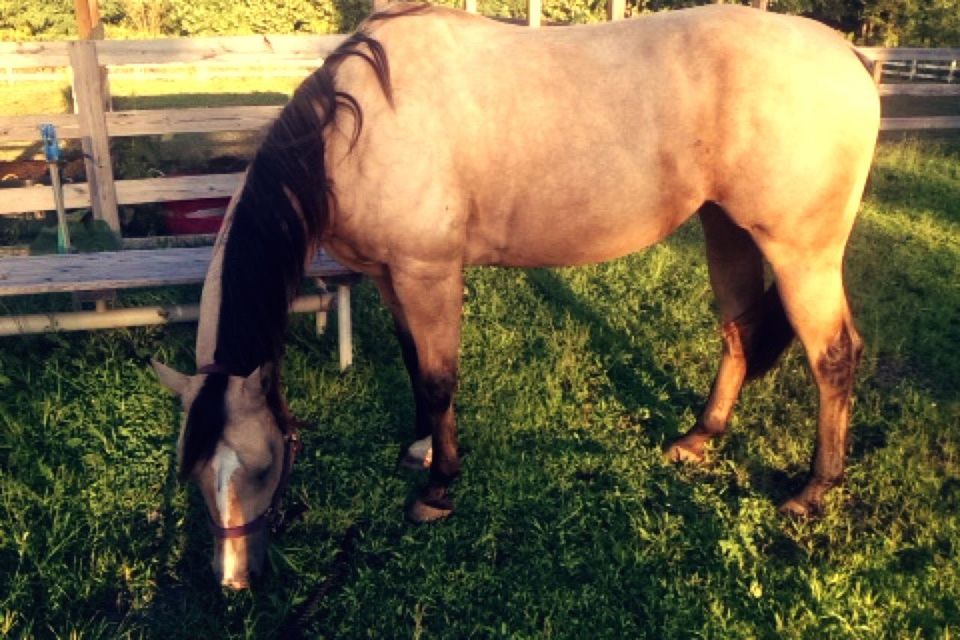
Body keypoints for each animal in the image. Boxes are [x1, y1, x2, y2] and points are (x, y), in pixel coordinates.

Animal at [150, 1, 876, 592]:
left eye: (262, 467)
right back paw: (700, 438)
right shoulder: (391, 275)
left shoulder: (428, 272)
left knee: (834, 357)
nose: (233, 582)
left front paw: (438, 489)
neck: (354, 129)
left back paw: (813, 492)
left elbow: (440, 377)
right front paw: (421, 448)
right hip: (726, 228)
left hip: (801, 253)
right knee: (738, 332)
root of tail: (851, 60)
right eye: (196, 477)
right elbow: (414, 366)